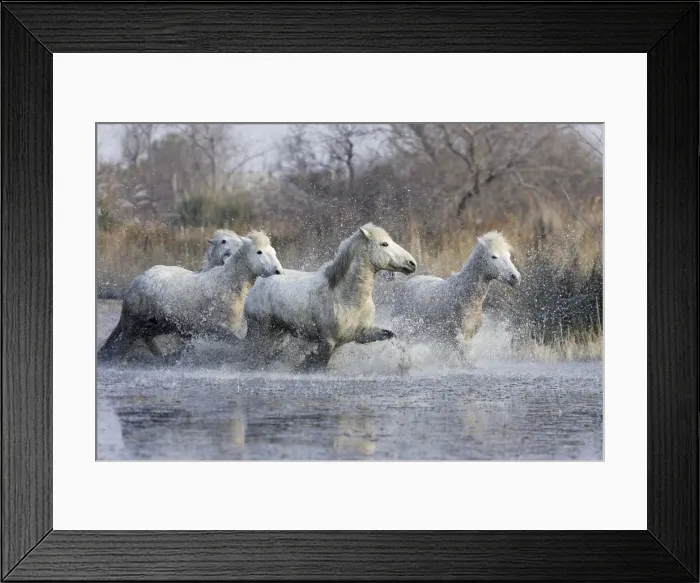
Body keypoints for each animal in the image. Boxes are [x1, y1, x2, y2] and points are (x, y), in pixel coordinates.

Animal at [98, 231, 283, 363]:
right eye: (259, 252)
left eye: (274, 251)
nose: (278, 271)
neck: (227, 284)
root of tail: (137, 279)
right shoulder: (216, 328)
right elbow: (238, 343)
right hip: (134, 321)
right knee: (125, 343)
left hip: (159, 323)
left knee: (146, 336)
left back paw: (162, 357)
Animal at [244, 223, 417, 370]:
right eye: (384, 244)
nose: (412, 263)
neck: (347, 299)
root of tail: (258, 282)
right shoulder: (328, 342)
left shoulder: (363, 335)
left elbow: (392, 335)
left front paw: (405, 363)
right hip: (260, 329)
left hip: (279, 332)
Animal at [392, 231, 520, 357]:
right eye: (494, 256)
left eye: (509, 256)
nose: (515, 277)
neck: (464, 296)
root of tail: (408, 283)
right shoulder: (456, 337)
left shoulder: (469, 336)